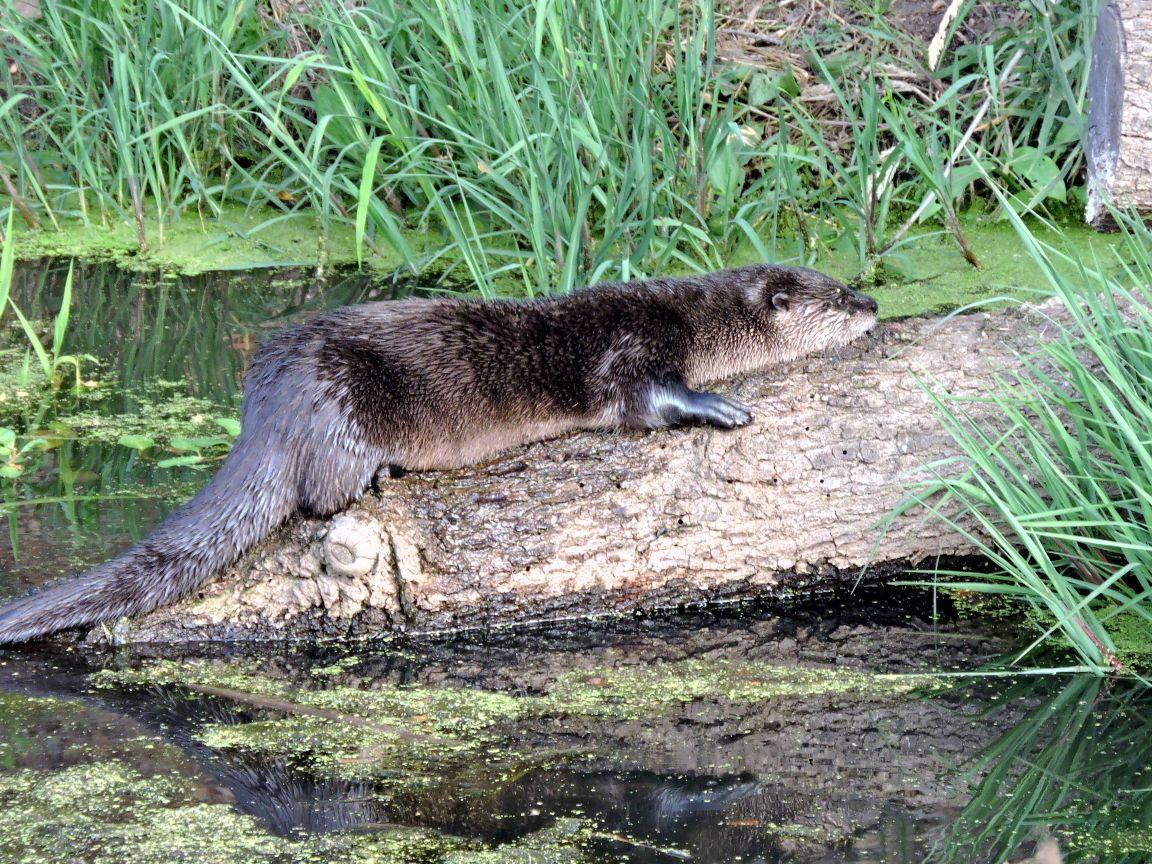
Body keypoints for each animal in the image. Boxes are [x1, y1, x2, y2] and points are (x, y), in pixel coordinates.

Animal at [0, 264, 877, 644]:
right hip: (343, 410)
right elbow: (642, 401)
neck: (693, 319)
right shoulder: (634, 346)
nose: (873, 302)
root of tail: (268, 407)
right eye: (838, 296)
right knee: (321, 496)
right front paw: (719, 407)